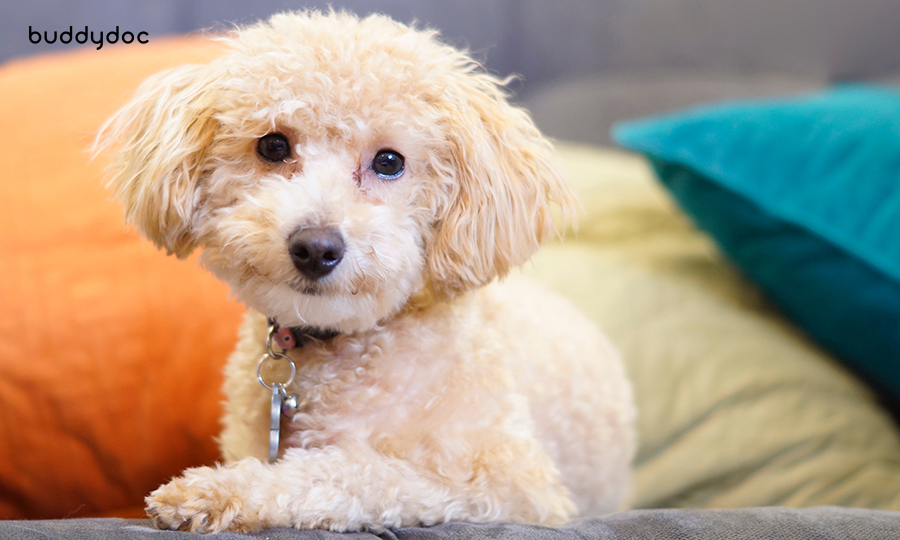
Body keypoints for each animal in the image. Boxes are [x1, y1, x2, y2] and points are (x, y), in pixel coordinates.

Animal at [95, 9, 632, 536]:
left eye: (389, 161)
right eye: (273, 146)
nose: (315, 248)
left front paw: (218, 491)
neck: (337, 347)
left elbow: (351, 471)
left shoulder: (508, 482)